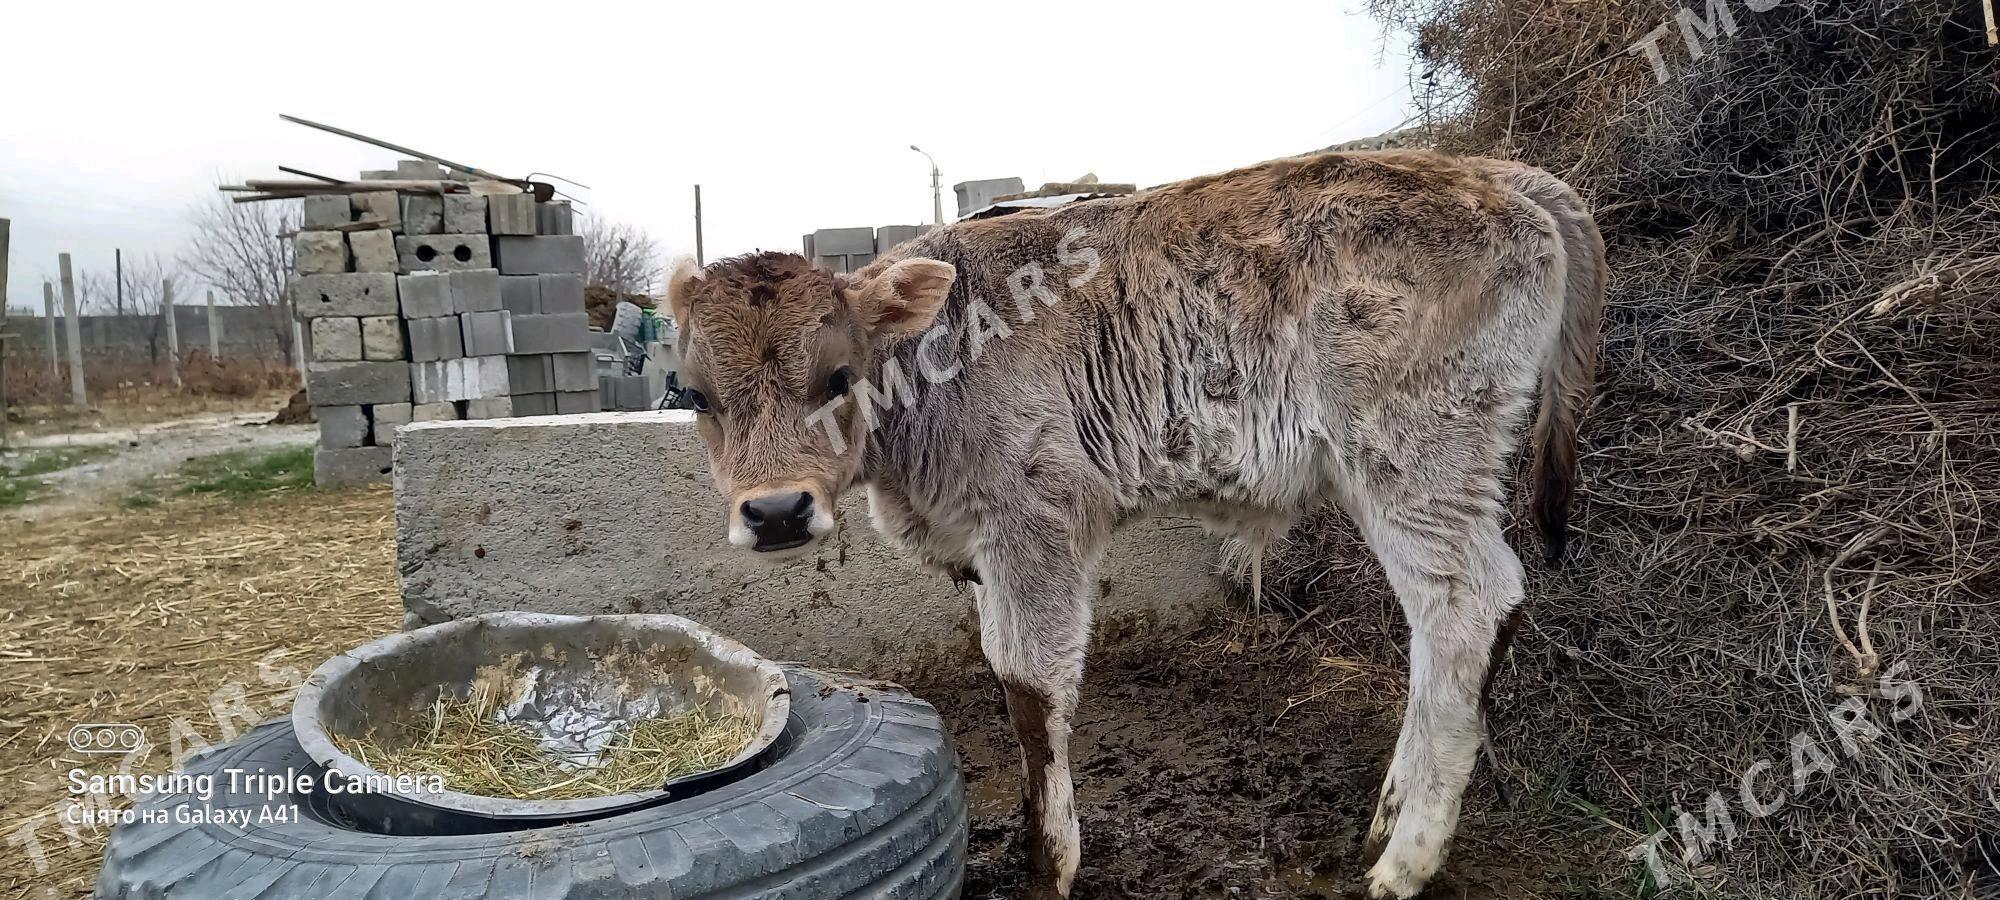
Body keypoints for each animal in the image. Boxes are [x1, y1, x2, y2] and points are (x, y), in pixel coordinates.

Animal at [672, 151, 1608, 896]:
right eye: (696, 396)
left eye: (838, 377)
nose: (776, 511)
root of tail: (1487, 171)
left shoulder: (1035, 523)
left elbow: (1030, 686)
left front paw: (1049, 866)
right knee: (1440, 621)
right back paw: (1387, 816)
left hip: (1419, 455)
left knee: (1469, 605)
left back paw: (1405, 861)